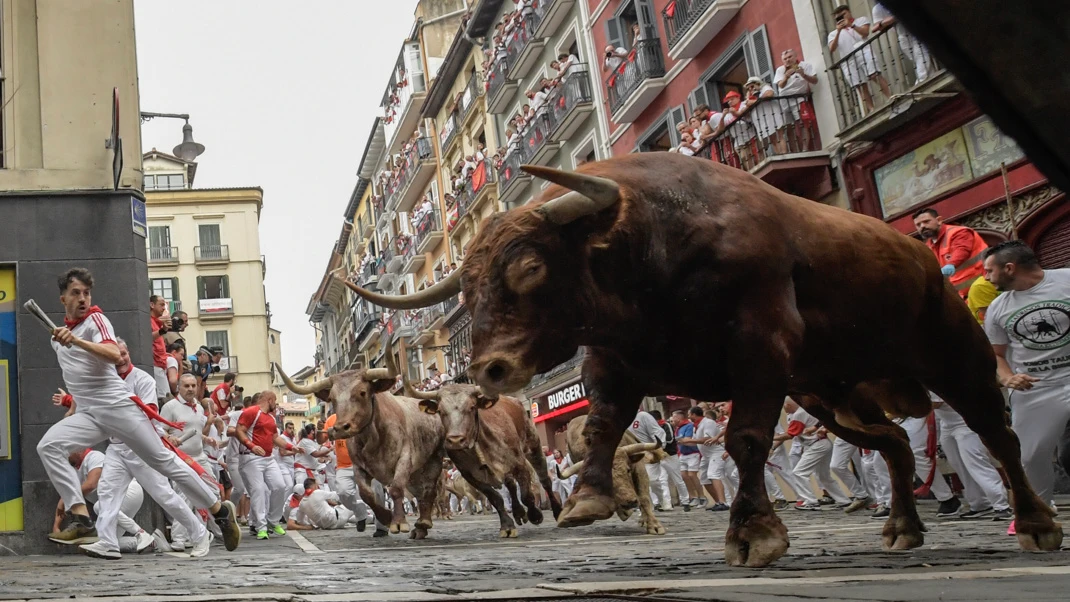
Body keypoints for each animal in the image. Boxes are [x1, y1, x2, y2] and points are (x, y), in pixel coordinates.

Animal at [276, 340, 447, 541]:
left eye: (363, 392)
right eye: (332, 398)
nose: (341, 428)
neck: (373, 438)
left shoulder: (405, 458)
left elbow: (396, 489)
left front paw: (399, 522)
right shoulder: (359, 467)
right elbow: (365, 494)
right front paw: (385, 516)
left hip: (432, 461)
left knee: (428, 491)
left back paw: (422, 524)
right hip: (417, 471)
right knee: (420, 493)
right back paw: (420, 526)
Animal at [408, 380, 564, 536]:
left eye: (472, 407)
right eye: (440, 411)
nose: (455, 440)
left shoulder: (520, 464)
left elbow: (526, 495)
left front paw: (535, 515)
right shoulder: (471, 475)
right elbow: (495, 498)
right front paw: (507, 525)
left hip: (533, 444)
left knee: (545, 481)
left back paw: (557, 512)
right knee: (511, 485)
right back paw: (518, 512)